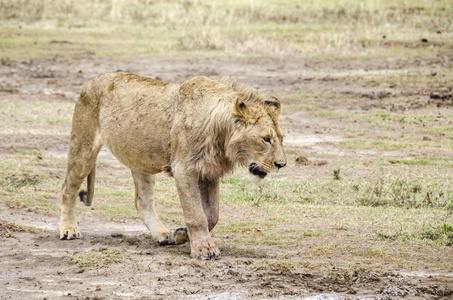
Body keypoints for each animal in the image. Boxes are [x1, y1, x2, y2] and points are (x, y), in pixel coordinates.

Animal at [59, 71, 286, 258]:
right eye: (266, 139)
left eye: (282, 138)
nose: (281, 164)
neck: (220, 133)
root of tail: (91, 81)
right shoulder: (183, 169)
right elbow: (196, 214)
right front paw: (204, 249)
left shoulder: (209, 172)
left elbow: (212, 215)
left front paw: (181, 234)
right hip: (83, 147)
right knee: (67, 188)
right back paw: (69, 229)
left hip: (142, 160)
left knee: (143, 201)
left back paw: (162, 235)